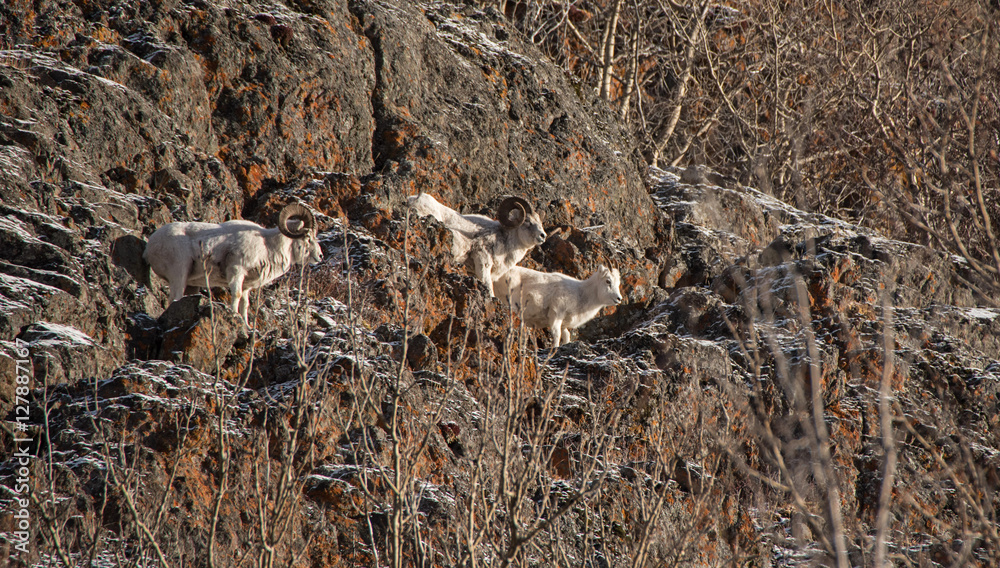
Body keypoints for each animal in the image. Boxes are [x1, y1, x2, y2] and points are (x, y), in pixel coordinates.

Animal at [143, 203, 323, 327]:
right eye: (307, 237)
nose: (320, 256)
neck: (267, 246)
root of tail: (150, 246)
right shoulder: (236, 271)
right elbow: (235, 295)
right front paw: (235, 317)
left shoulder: (247, 285)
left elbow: (245, 303)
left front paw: (247, 326)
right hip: (179, 273)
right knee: (175, 298)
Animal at [408, 193, 546, 297]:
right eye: (527, 221)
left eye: (539, 222)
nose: (543, 236)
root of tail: (414, 200)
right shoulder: (482, 261)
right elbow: (488, 287)